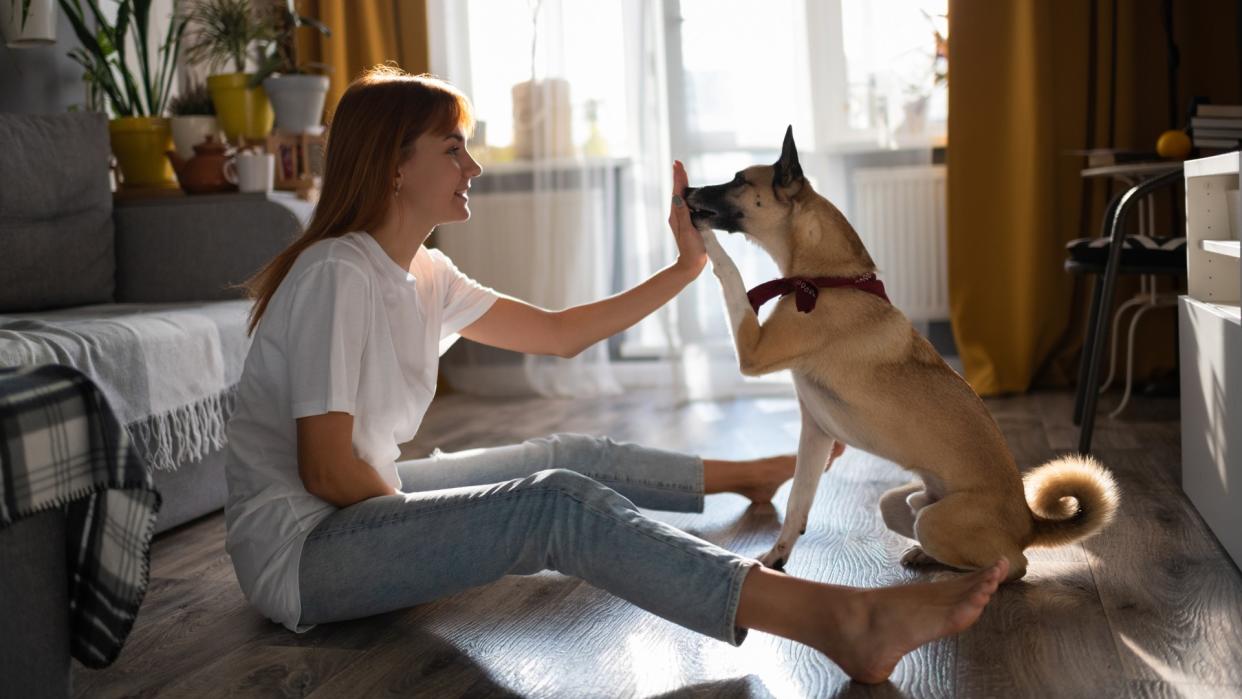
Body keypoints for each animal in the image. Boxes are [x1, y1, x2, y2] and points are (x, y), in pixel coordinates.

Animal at [685, 127, 1122, 581]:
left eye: (738, 180)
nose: (685, 192)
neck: (829, 278)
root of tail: (1028, 522)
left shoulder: (752, 352)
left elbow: (731, 274)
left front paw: (701, 236)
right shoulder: (816, 433)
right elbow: (796, 503)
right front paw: (777, 557)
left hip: (937, 522)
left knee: (1013, 564)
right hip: (899, 503)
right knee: (921, 520)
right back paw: (925, 556)